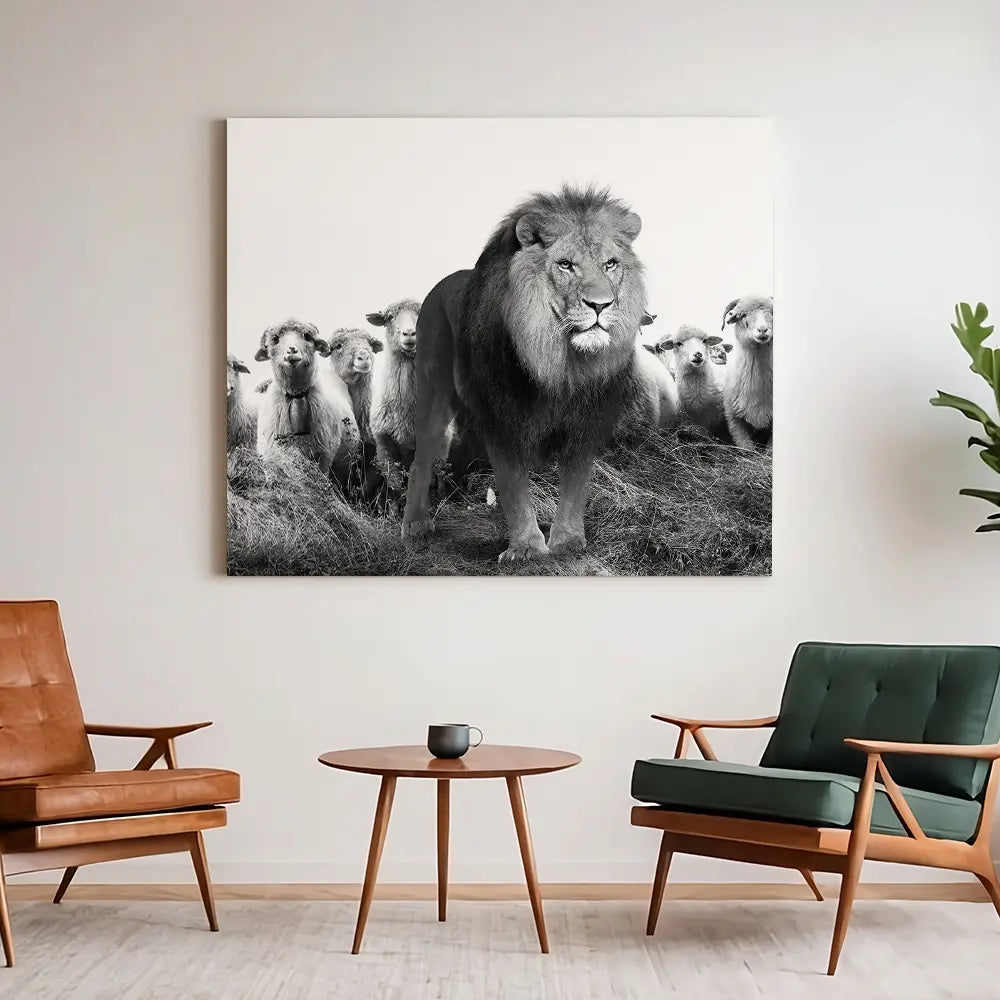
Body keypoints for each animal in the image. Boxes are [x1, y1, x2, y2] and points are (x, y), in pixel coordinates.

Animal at [401, 185, 647, 562]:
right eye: (565, 265)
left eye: (611, 264)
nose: (601, 305)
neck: (560, 363)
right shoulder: (502, 417)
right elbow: (513, 486)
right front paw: (527, 548)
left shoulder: (586, 420)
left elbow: (576, 483)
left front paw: (567, 542)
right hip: (434, 391)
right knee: (421, 457)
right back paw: (415, 525)